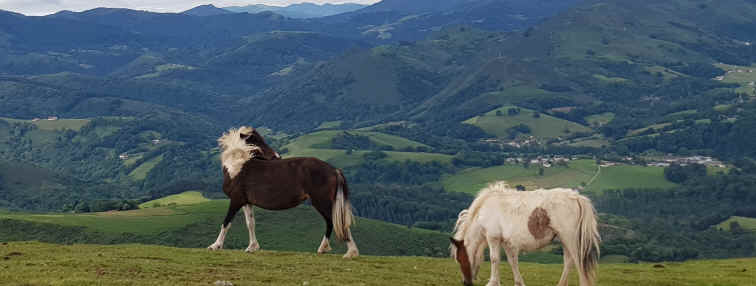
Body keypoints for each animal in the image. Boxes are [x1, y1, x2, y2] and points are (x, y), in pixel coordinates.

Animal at [207, 126, 360, 258]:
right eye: (255, 140)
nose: (277, 156)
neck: (238, 167)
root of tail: (334, 170)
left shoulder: (236, 200)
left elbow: (226, 222)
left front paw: (215, 245)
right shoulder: (245, 202)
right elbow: (250, 223)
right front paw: (252, 247)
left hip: (321, 201)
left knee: (335, 221)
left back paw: (346, 252)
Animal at [448, 182, 604, 286]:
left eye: (460, 259)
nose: (465, 283)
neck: (485, 210)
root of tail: (576, 197)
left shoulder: (493, 238)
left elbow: (494, 259)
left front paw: (493, 282)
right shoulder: (507, 242)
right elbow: (512, 262)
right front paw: (519, 282)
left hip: (569, 239)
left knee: (578, 263)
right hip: (564, 240)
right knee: (568, 262)